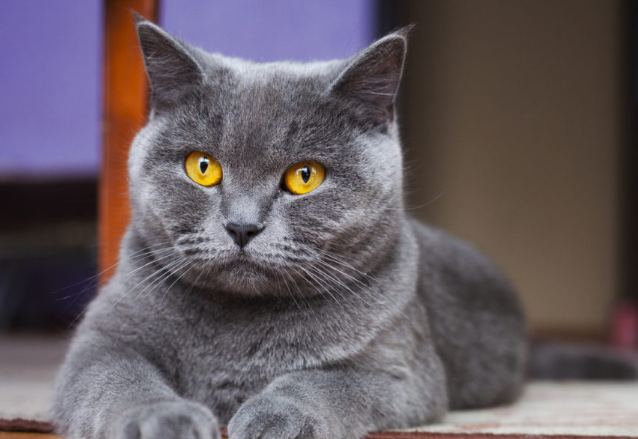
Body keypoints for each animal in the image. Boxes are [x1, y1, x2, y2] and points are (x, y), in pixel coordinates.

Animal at [48, 15, 528, 439]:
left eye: (305, 176)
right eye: (202, 167)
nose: (242, 225)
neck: (236, 335)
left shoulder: (400, 373)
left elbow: (323, 381)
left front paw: (274, 418)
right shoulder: (101, 341)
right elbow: (121, 379)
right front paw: (165, 421)